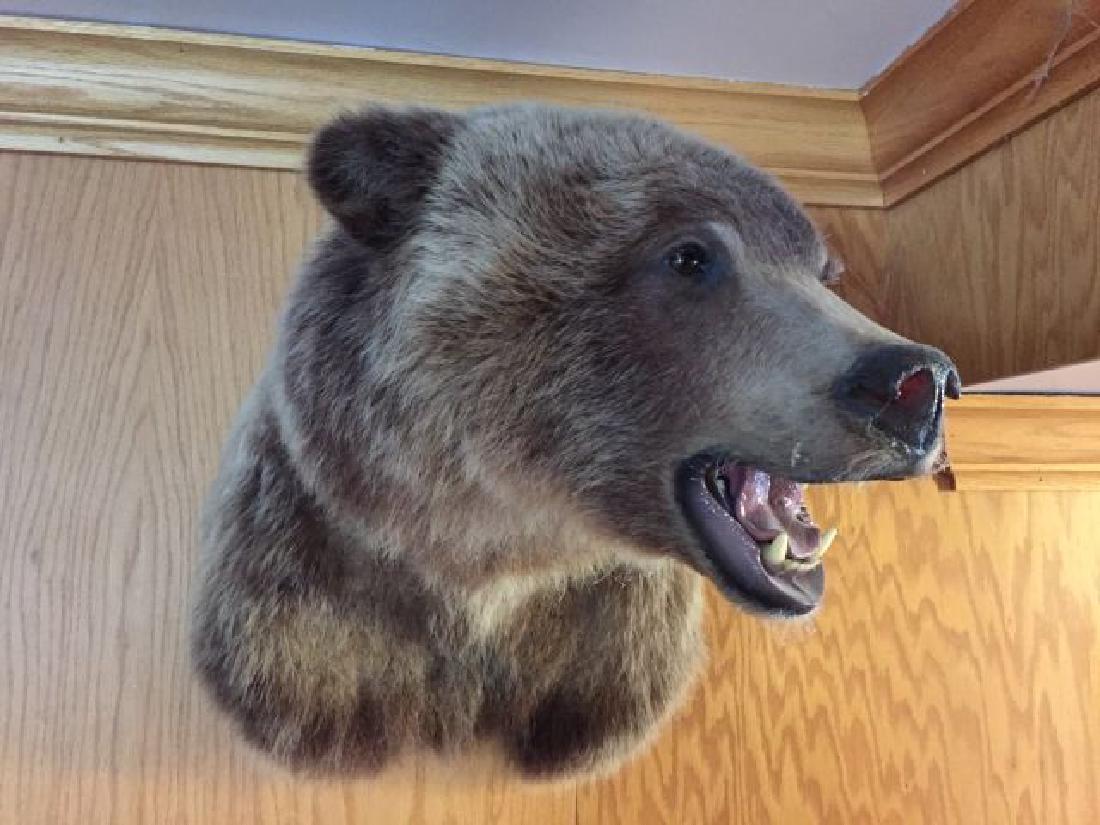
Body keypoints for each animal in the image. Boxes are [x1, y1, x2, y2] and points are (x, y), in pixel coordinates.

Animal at [191, 103, 959, 780]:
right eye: (690, 255)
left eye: (824, 272)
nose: (916, 383)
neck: (493, 564)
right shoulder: (311, 598)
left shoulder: (607, 653)